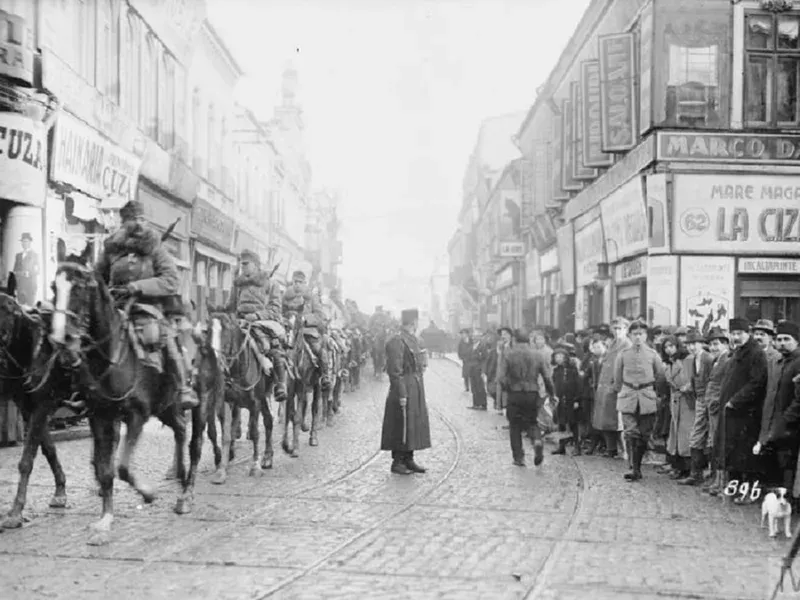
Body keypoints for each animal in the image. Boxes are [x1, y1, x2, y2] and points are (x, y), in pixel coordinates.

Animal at [0, 292, 75, 528]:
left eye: (11, 311)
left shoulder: (42, 404)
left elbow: (26, 461)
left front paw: (15, 513)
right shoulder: (28, 407)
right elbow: (48, 448)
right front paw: (60, 491)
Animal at [52, 255, 203, 548]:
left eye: (78, 290)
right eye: (54, 289)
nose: (61, 342)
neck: (113, 358)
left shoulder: (137, 416)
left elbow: (121, 467)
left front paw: (148, 493)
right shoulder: (100, 418)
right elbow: (105, 471)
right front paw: (104, 522)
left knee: (194, 443)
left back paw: (186, 495)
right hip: (167, 408)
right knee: (180, 431)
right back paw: (178, 475)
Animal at [206, 312, 276, 486]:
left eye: (226, 331)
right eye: (208, 331)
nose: (215, 362)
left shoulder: (255, 403)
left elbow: (255, 432)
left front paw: (255, 467)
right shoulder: (226, 401)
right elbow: (225, 435)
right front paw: (221, 470)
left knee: (268, 421)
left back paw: (267, 457)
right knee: (267, 420)